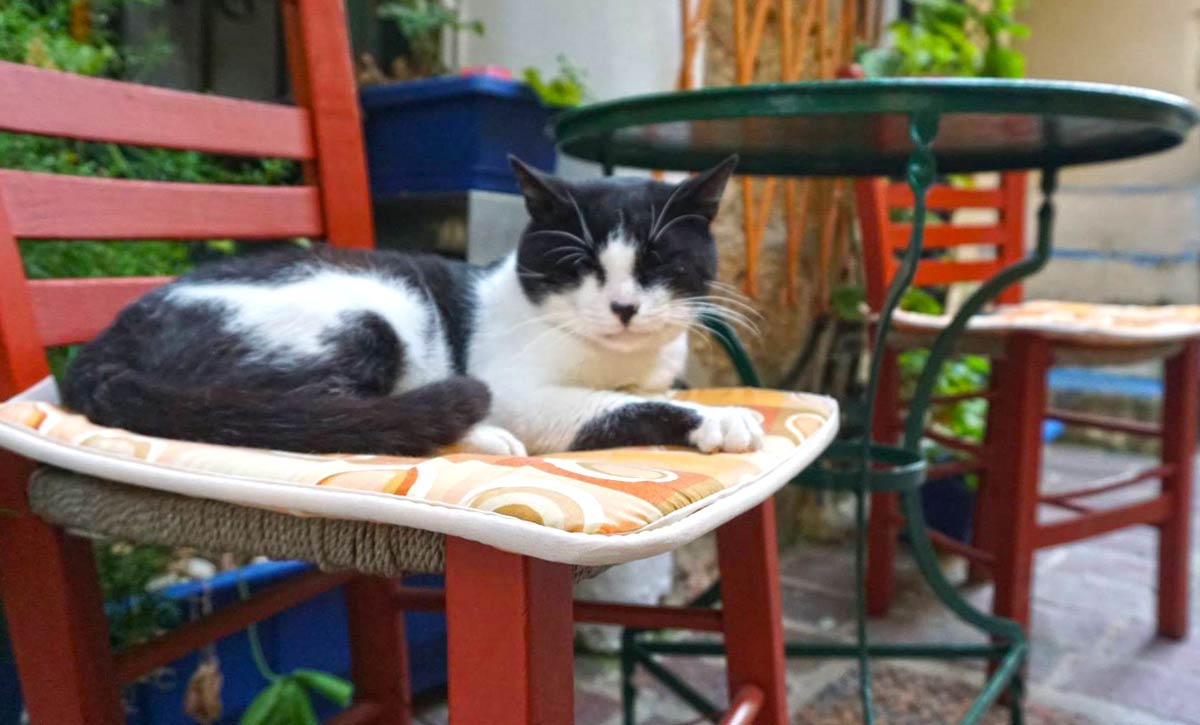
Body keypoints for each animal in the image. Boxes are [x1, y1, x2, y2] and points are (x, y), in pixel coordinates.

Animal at [60, 156, 763, 456]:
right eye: (579, 264)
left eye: (657, 263)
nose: (623, 306)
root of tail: (105, 341)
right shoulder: (517, 386)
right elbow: (608, 408)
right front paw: (718, 418)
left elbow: (644, 392)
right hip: (371, 314)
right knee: (310, 412)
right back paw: (476, 432)